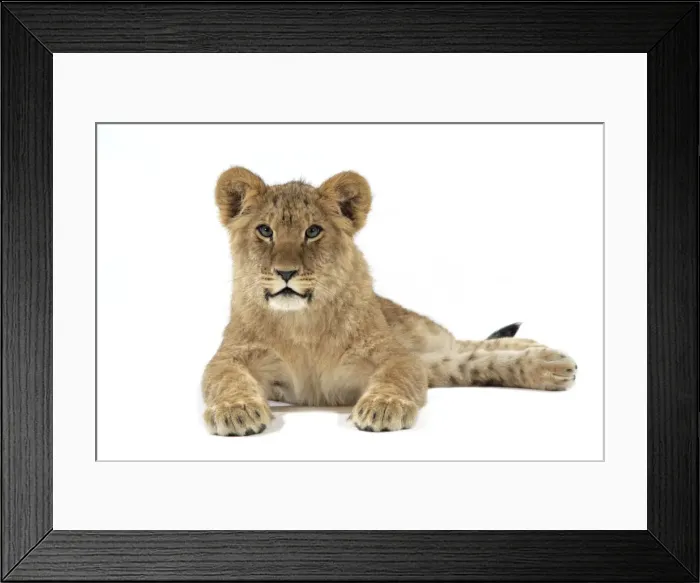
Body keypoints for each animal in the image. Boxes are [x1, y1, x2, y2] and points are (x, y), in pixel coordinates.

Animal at [202, 167, 577, 435]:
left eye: (313, 231)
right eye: (265, 231)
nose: (285, 272)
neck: (301, 323)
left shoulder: (397, 355)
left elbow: (394, 378)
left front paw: (382, 407)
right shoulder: (228, 357)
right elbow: (226, 379)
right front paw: (236, 410)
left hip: (419, 334)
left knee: (464, 344)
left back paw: (545, 355)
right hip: (436, 366)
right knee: (468, 360)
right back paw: (549, 363)